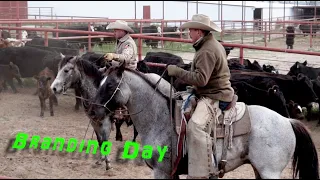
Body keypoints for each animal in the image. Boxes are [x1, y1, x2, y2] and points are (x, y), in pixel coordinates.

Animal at [89, 62, 318, 179]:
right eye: (99, 82)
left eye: (110, 85)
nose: (92, 111)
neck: (159, 118)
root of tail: (288, 121)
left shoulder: (161, 172)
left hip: (270, 172)